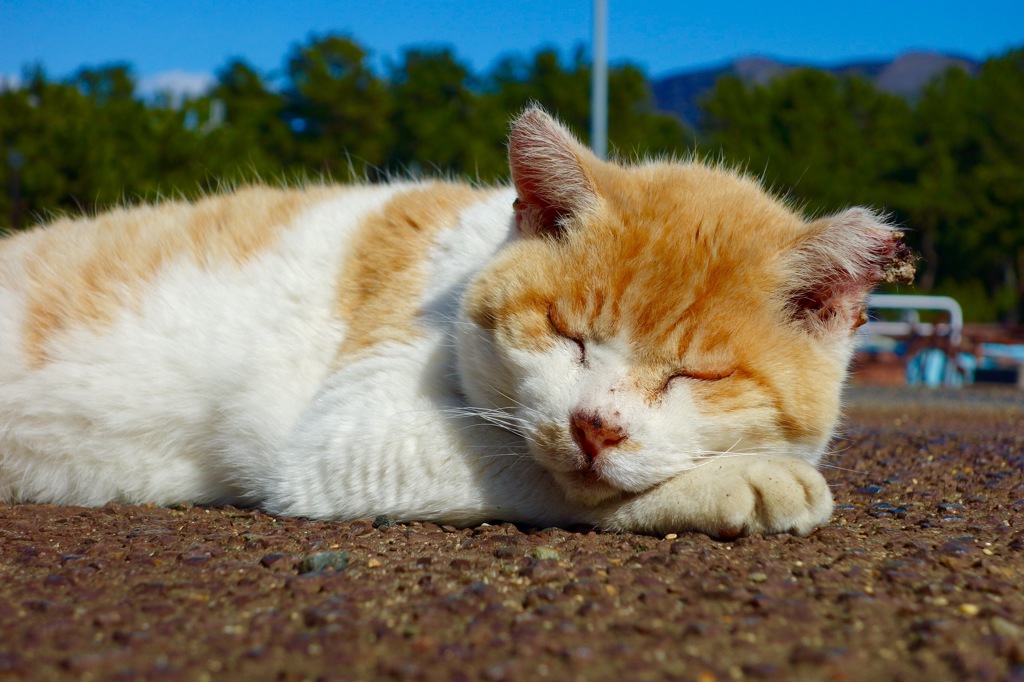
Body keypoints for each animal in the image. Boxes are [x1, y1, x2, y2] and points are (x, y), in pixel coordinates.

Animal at [0, 106, 917, 536]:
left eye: (695, 374)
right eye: (566, 333)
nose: (595, 426)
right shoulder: (350, 437)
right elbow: (538, 474)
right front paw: (743, 480)